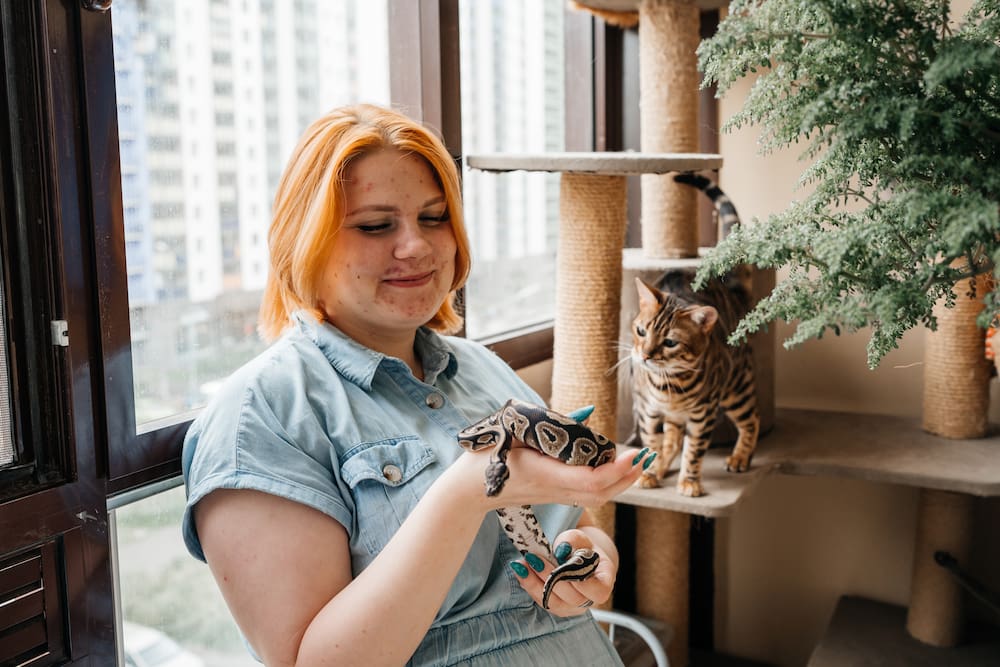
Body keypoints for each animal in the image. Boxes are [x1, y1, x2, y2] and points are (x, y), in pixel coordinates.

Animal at [628, 175, 760, 498]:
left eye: (670, 342)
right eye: (641, 331)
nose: (645, 356)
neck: (668, 386)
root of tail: (732, 291)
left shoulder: (703, 415)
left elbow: (694, 450)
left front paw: (689, 481)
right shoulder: (648, 411)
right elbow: (652, 443)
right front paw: (649, 473)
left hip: (737, 387)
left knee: (752, 420)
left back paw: (740, 457)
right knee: (673, 439)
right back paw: (663, 465)